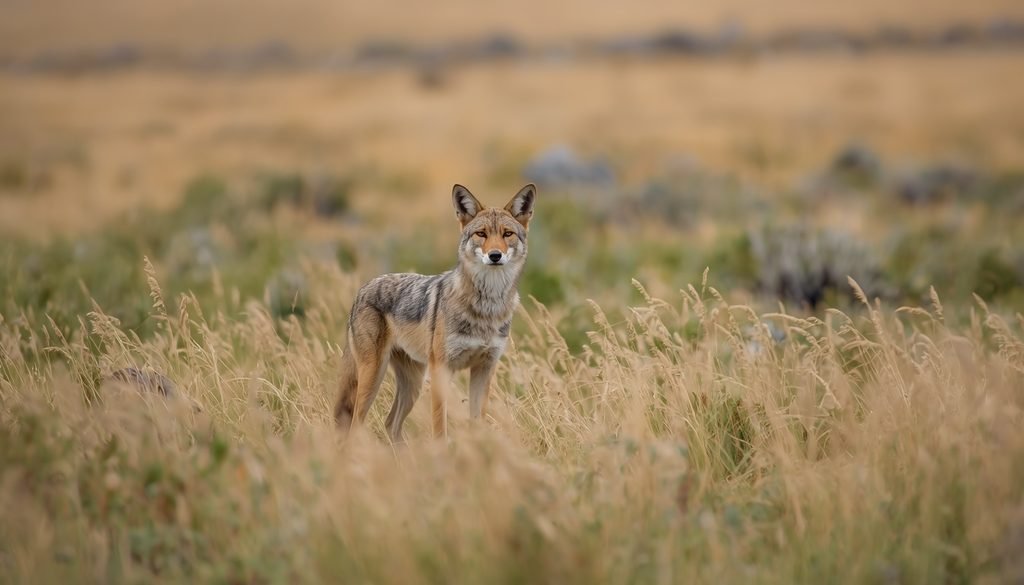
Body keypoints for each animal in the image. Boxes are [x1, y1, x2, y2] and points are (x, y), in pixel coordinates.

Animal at [334, 183, 537, 442]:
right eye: (481, 234)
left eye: (507, 234)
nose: (494, 255)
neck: (486, 308)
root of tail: (362, 288)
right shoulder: (441, 369)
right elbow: (440, 427)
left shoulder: (484, 369)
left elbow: (477, 422)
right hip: (374, 376)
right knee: (356, 424)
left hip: (413, 384)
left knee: (390, 424)